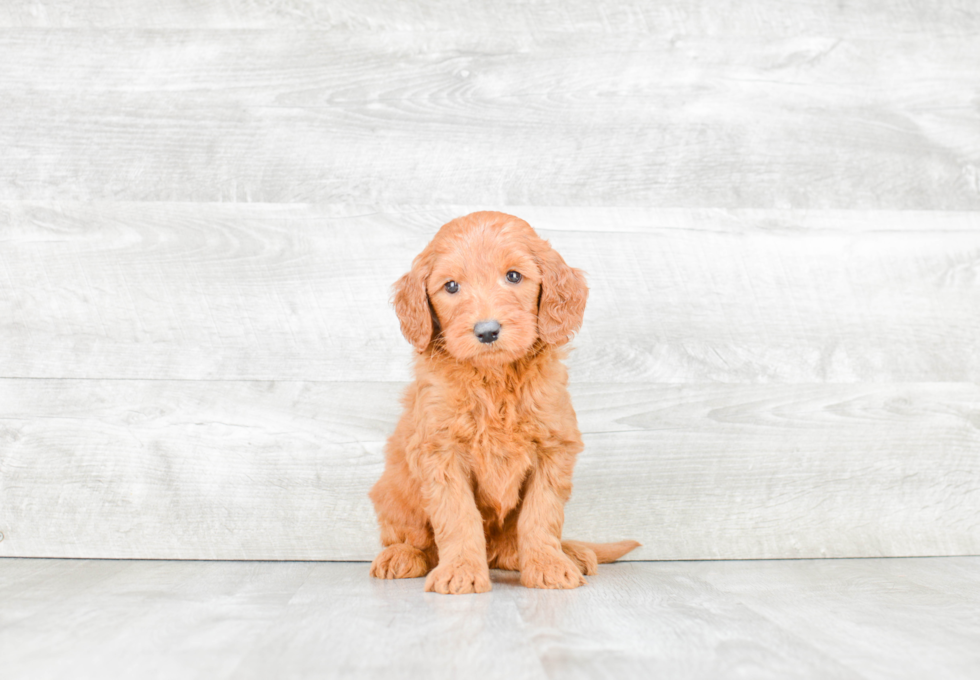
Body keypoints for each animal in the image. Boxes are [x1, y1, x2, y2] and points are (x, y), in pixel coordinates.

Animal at [368, 210, 636, 592]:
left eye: (513, 276)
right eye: (451, 286)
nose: (487, 331)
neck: (493, 379)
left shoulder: (553, 448)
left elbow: (541, 515)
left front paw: (548, 565)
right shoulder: (440, 451)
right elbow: (458, 516)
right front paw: (461, 571)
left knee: (510, 548)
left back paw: (569, 552)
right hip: (392, 491)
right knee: (413, 539)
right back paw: (402, 555)